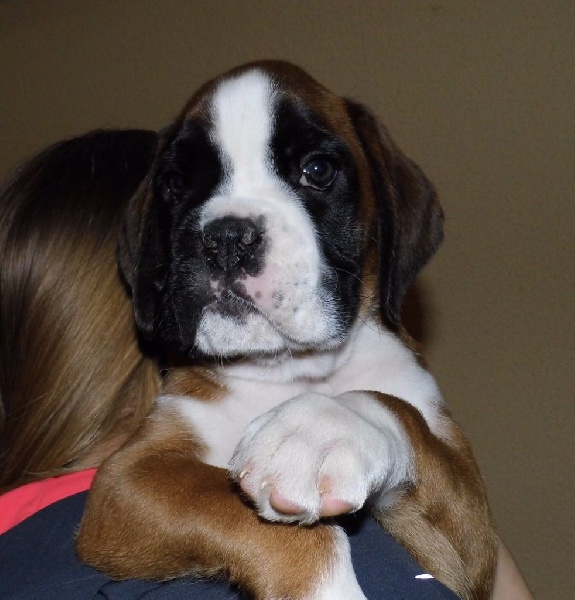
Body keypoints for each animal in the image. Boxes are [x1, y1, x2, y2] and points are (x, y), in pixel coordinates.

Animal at [77, 58, 500, 596]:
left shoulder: (475, 539)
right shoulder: (130, 479)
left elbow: (401, 412)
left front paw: (321, 427)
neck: (288, 371)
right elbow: (264, 523)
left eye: (316, 170)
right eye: (174, 183)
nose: (225, 237)